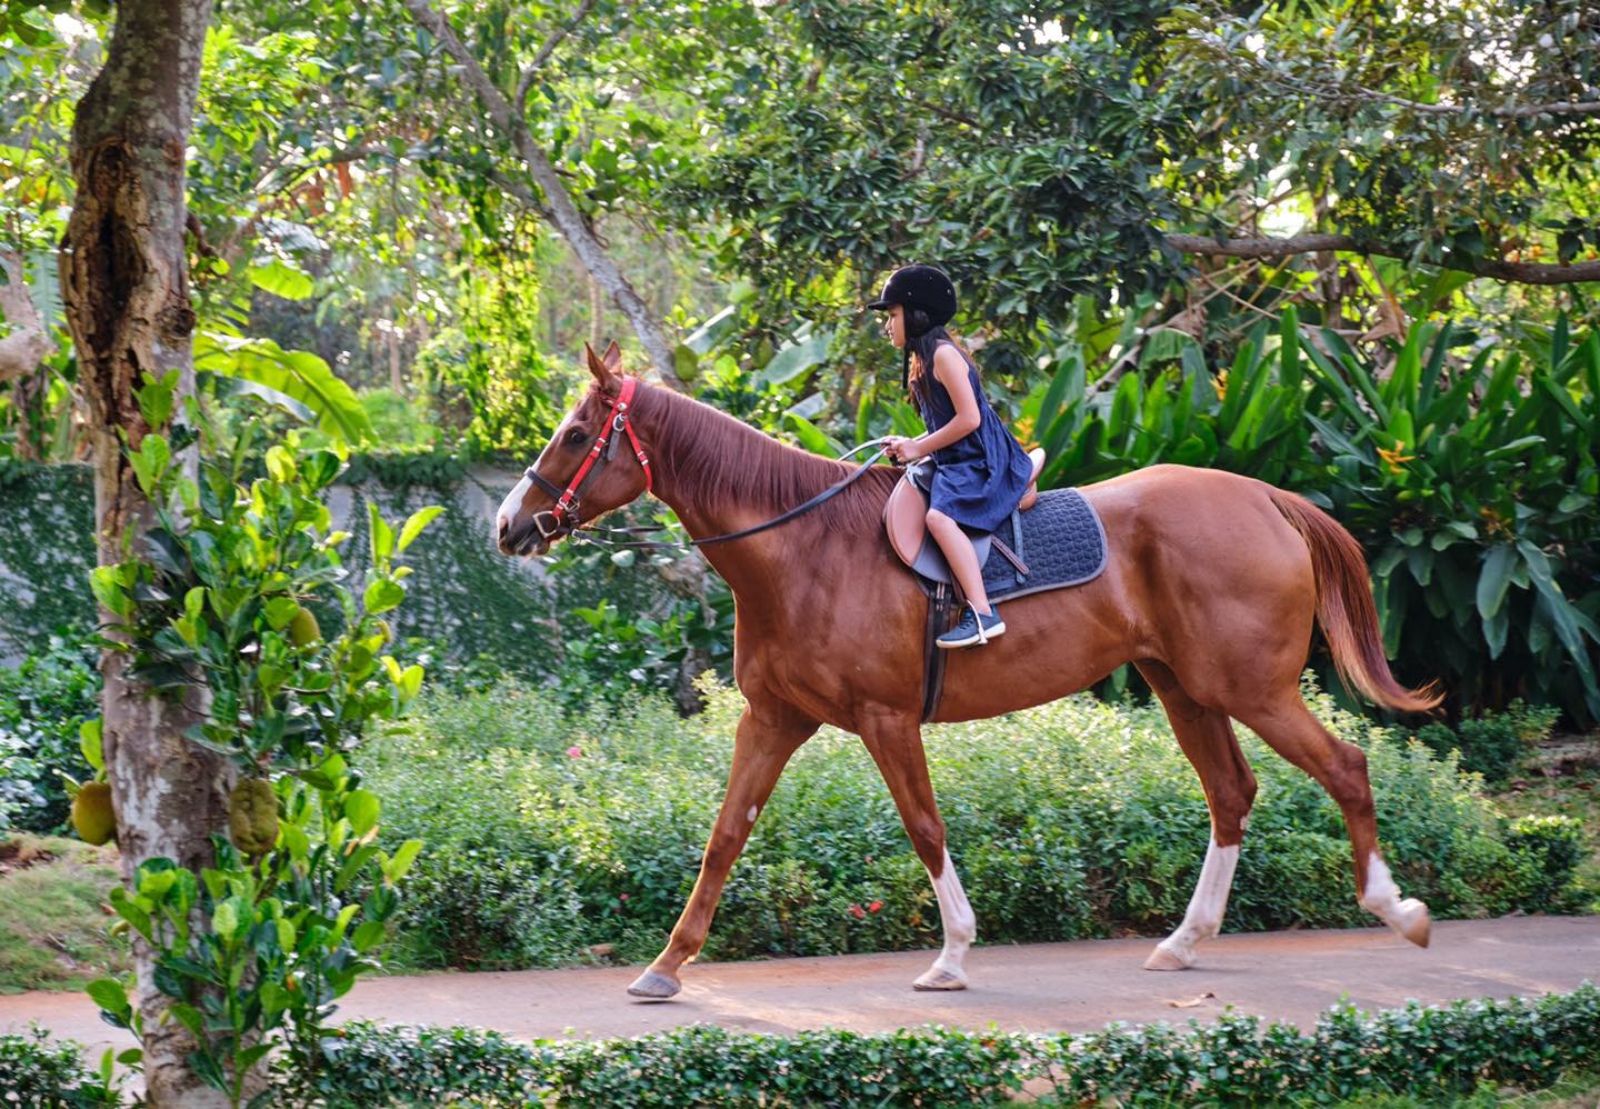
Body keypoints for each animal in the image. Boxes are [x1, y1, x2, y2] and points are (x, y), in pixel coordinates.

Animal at [496, 342, 1440, 998]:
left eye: (575, 434)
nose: (509, 524)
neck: (801, 547)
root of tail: (1266, 498)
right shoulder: (773, 717)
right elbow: (725, 836)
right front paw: (666, 964)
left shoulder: (884, 718)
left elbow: (925, 827)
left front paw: (951, 954)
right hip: (1187, 690)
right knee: (1232, 794)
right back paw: (1185, 940)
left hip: (1250, 689)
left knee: (1345, 766)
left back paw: (1398, 909)